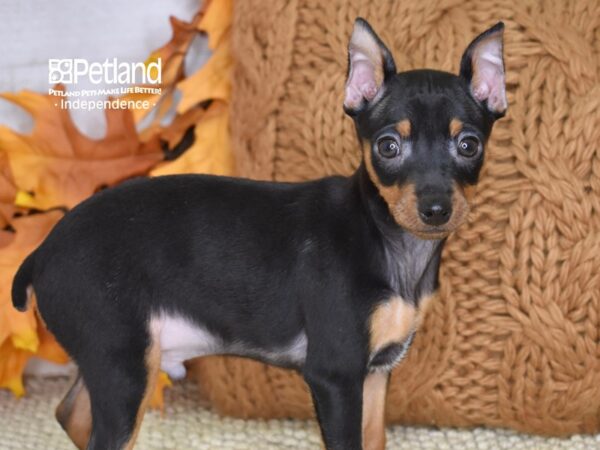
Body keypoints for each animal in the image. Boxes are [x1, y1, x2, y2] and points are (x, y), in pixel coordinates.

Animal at [10, 17, 506, 450]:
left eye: (469, 145)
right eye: (388, 146)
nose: (436, 210)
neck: (388, 241)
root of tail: (42, 252)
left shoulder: (377, 371)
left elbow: (374, 440)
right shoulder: (336, 375)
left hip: (111, 362)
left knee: (71, 415)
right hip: (124, 365)